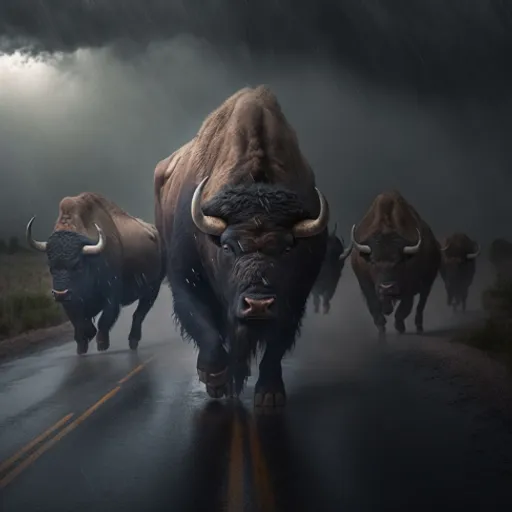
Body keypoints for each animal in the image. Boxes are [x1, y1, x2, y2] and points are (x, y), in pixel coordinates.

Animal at [26, 194, 166, 354]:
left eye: (78, 265)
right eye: (51, 266)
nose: (60, 294)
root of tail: (156, 234)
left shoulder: (112, 296)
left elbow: (104, 320)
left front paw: (102, 344)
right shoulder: (72, 303)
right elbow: (79, 321)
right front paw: (82, 345)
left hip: (153, 288)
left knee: (139, 313)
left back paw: (133, 340)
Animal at [152, 87, 328, 408]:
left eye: (287, 248)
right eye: (228, 247)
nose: (257, 304)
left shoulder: (296, 297)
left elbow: (277, 343)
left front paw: (269, 394)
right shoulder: (185, 281)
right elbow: (204, 327)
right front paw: (214, 380)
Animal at [350, 191, 442, 336]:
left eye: (399, 261)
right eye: (373, 261)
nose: (387, 287)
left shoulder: (411, 285)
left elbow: (404, 308)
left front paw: (400, 327)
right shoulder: (366, 285)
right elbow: (375, 306)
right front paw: (382, 328)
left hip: (428, 282)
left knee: (421, 305)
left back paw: (419, 327)